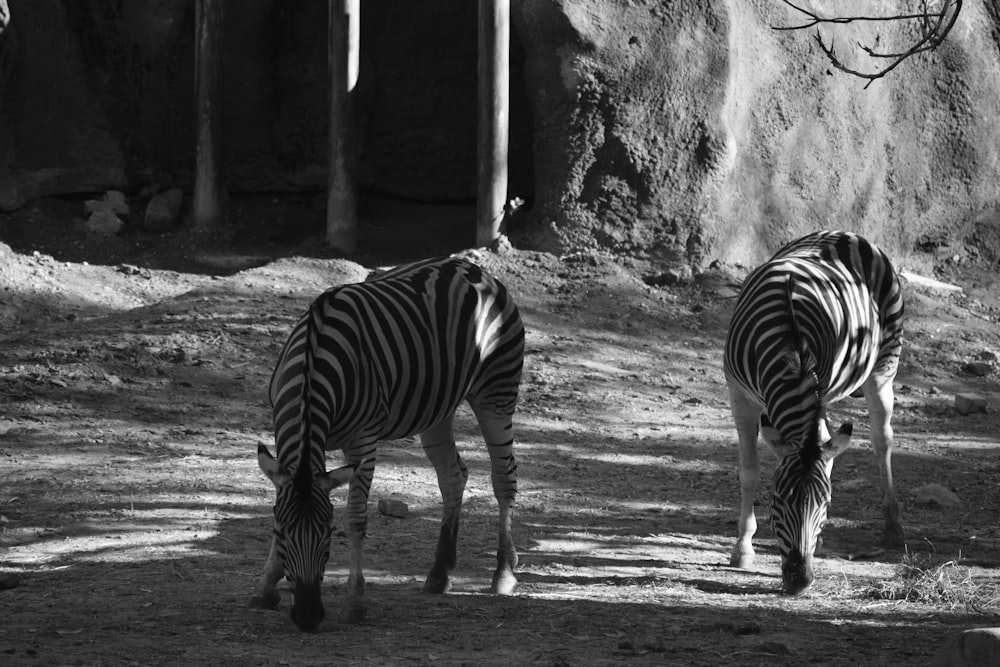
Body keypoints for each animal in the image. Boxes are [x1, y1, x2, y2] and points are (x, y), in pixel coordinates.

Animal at [249, 256, 524, 632]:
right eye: (282, 532)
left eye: (328, 533)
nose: (308, 617)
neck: (312, 363)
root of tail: (473, 268)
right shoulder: (283, 433)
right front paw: (265, 588)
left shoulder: (363, 442)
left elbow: (356, 518)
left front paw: (355, 602)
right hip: (437, 409)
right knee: (453, 476)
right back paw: (439, 574)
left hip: (497, 392)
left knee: (503, 478)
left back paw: (504, 574)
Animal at [728, 232, 908, 596]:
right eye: (778, 501)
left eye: (825, 506)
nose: (800, 581)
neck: (788, 344)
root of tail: (845, 233)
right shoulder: (740, 395)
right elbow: (749, 471)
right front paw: (742, 548)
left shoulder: (816, 395)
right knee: (832, 446)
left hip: (884, 366)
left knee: (882, 439)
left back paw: (892, 524)